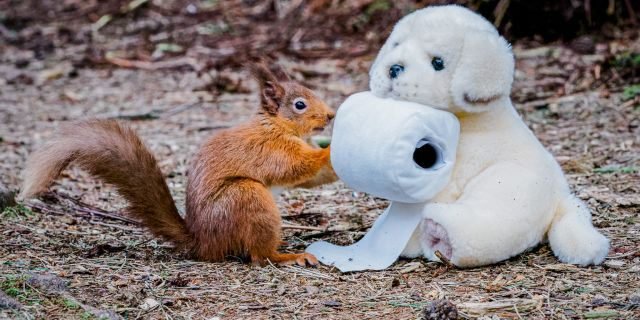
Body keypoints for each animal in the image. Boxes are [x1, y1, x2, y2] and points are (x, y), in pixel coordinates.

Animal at [18, 63, 340, 266]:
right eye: (300, 104)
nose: (331, 115)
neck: (276, 125)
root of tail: (202, 242)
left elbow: (310, 179)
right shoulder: (269, 149)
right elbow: (296, 166)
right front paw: (331, 149)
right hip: (245, 197)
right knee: (259, 257)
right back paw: (287, 256)